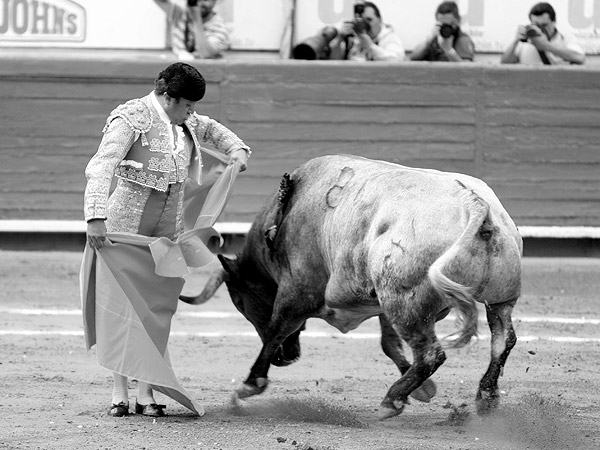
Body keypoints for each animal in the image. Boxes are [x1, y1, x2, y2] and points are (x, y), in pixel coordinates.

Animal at [180, 154, 524, 418]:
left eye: (239, 302)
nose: (284, 359)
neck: (282, 216)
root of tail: (474, 203)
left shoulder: (298, 289)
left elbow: (277, 328)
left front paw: (250, 384)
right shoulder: (378, 305)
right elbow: (388, 343)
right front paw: (424, 391)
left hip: (402, 301)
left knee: (431, 354)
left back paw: (391, 400)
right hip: (498, 299)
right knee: (502, 340)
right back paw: (486, 396)